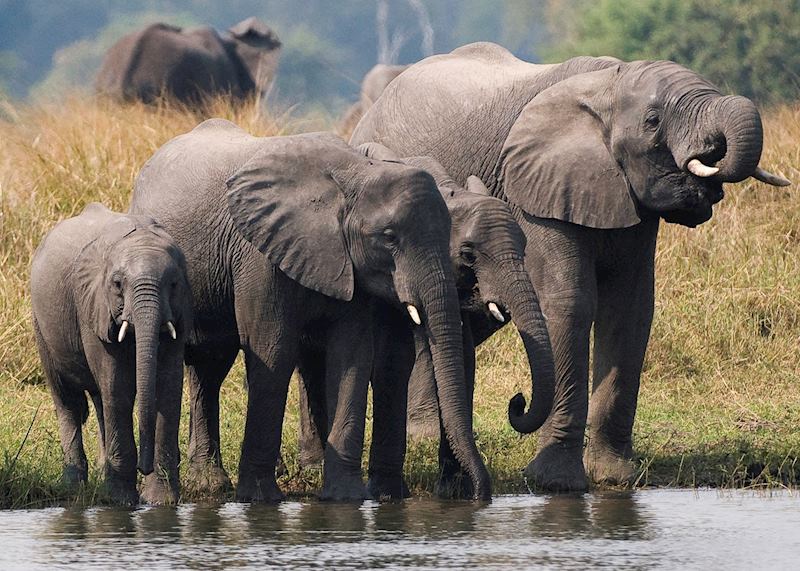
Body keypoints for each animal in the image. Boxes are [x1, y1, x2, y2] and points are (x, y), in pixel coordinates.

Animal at [30, 203, 191, 504]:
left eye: (174, 284)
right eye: (117, 284)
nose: (144, 467)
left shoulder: (182, 311)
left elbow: (168, 387)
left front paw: (160, 503)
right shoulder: (92, 306)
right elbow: (118, 387)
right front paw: (122, 501)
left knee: (98, 400)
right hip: (41, 323)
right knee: (68, 399)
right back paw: (74, 487)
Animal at [129, 119, 492, 501]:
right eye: (389, 237)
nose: (478, 495)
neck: (354, 174)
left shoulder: (348, 262)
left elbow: (351, 355)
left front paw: (345, 497)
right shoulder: (260, 253)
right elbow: (272, 349)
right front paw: (259, 500)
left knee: (210, 364)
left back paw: (209, 482)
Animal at [351, 42, 791, 491]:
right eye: (653, 122)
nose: (516, 401)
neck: (608, 83)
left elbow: (631, 310)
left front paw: (614, 478)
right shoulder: (536, 187)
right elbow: (570, 303)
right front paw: (556, 483)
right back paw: (422, 435)